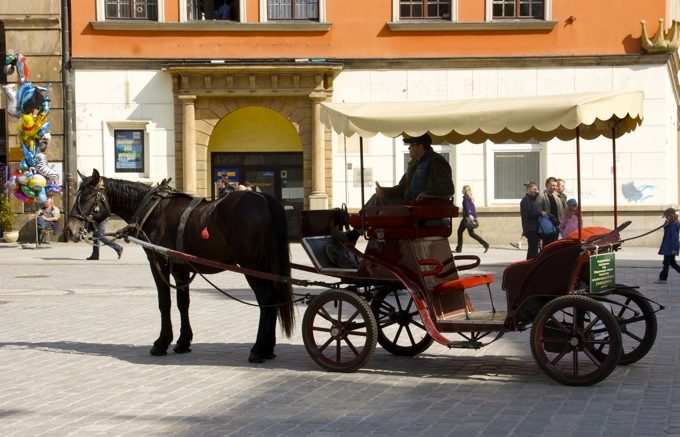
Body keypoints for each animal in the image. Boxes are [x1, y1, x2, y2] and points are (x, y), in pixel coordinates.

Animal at [63, 169, 294, 362]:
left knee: (266, 299)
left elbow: (164, 303)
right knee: (272, 299)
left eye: (86, 197)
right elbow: (184, 303)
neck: (154, 210)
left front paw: (161, 342)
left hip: (251, 264)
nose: (70, 230)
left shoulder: (158, 264)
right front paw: (183, 342)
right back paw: (268, 348)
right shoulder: (181, 269)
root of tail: (263, 199)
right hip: (264, 264)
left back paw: (258, 349)